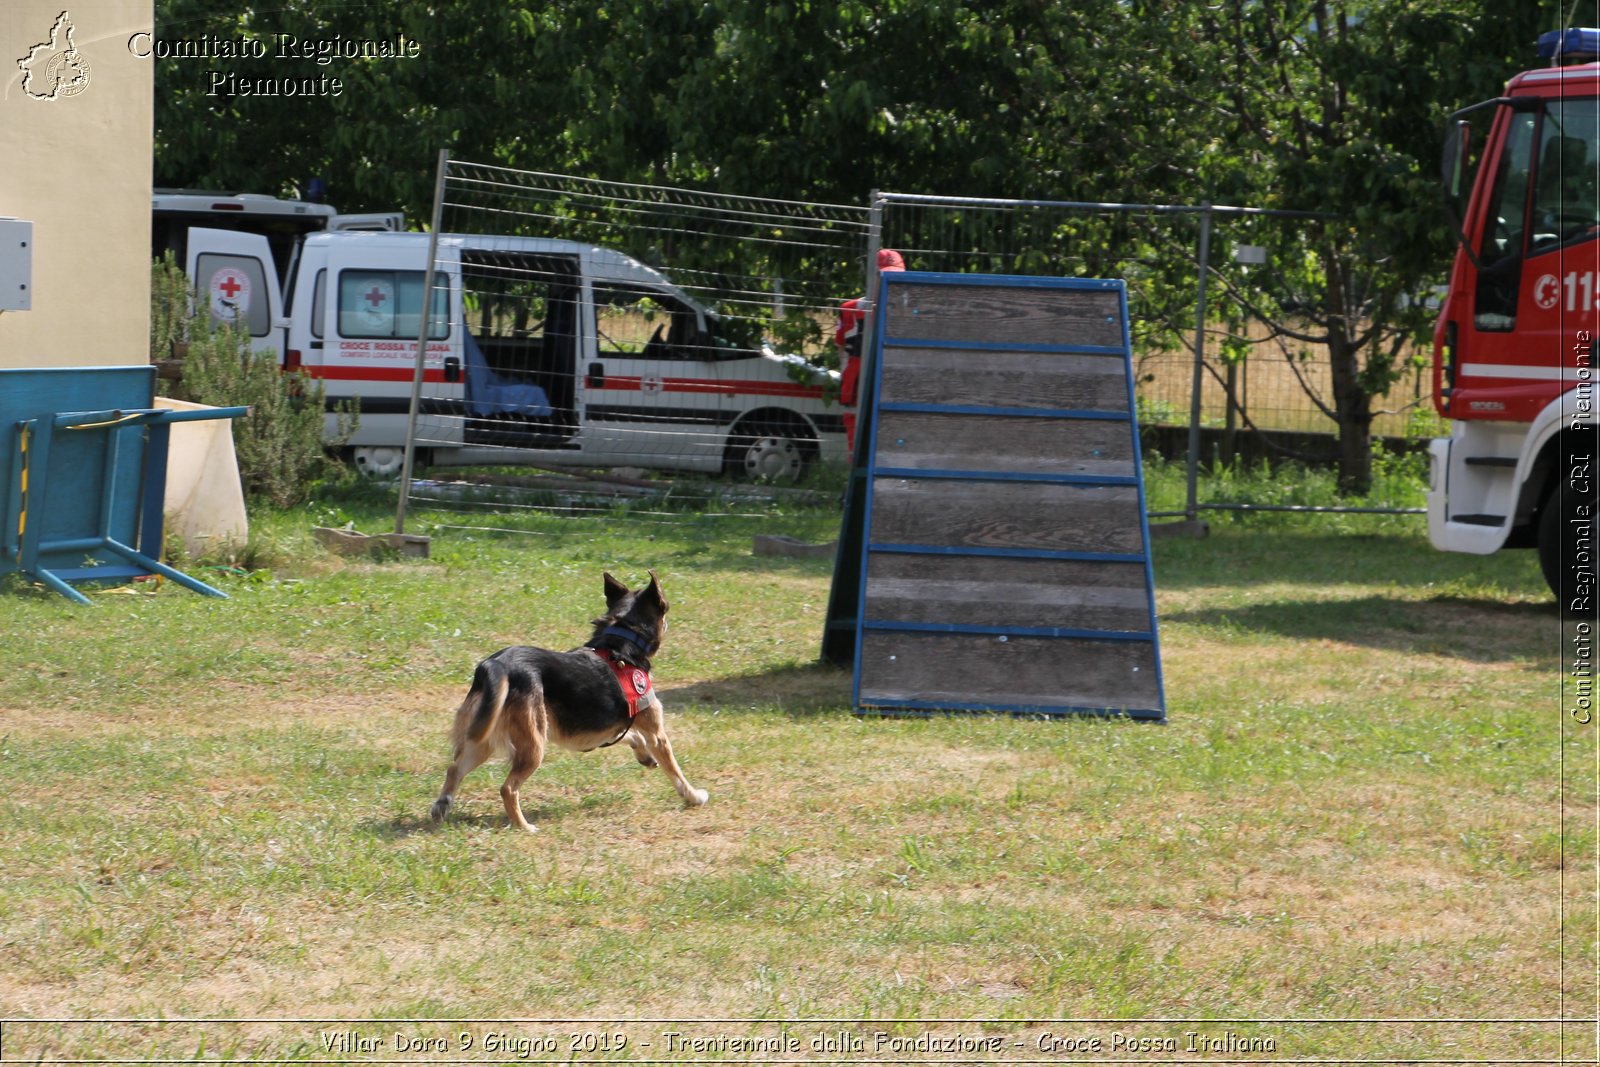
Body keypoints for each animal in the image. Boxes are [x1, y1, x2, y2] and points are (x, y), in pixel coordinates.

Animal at [425, 572, 707, 831]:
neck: (622, 640)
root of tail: (496, 665)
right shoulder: (655, 732)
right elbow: (675, 770)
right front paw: (694, 796)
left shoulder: (598, 731)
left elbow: (630, 736)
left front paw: (644, 756)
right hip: (532, 745)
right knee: (508, 788)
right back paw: (524, 826)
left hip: (483, 734)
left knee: (454, 768)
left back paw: (442, 806)